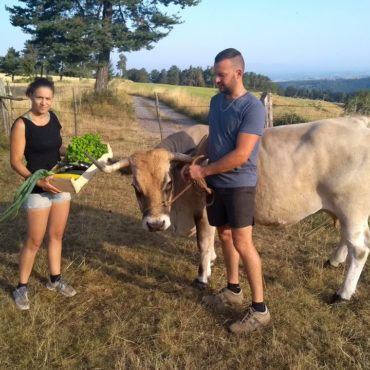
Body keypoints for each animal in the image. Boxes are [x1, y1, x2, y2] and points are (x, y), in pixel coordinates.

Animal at [92, 116, 370, 304]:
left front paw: (202, 276)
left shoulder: (205, 214)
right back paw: (334, 261)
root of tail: (358, 122)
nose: (156, 223)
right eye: (135, 187)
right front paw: (214, 260)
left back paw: (342, 294)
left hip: (351, 210)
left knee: (359, 250)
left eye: (167, 183)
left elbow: (203, 244)